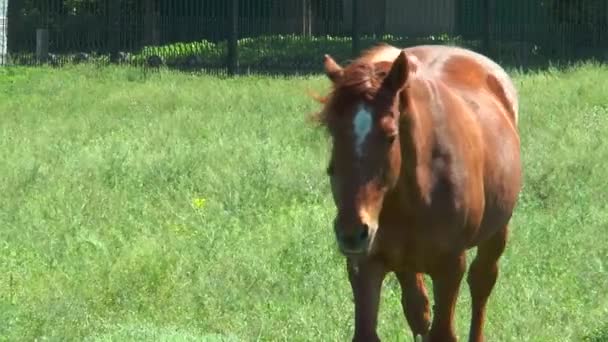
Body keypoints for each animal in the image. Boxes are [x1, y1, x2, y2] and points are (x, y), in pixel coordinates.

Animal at [314, 43, 524, 342]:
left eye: (390, 135)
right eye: (333, 131)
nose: (352, 233)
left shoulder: (449, 267)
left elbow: (443, 331)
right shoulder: (366, 264)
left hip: (496, 232)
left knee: (482, 282)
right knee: (418, 308)